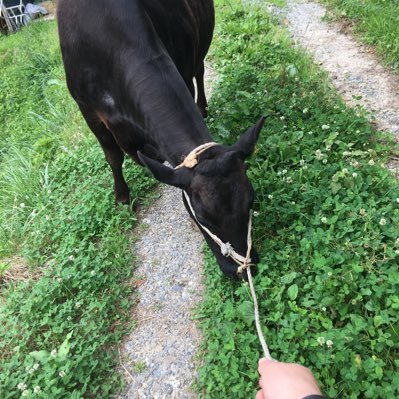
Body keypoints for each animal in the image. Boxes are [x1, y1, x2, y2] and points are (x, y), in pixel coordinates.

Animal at [56, 0, 262, 278]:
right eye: (202, 217)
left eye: (251, 200)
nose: (241, 268)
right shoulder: (88, 110)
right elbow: (113, 157)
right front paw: (122, 198)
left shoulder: (183, 69)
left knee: (200, 70)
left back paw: (203, 107)